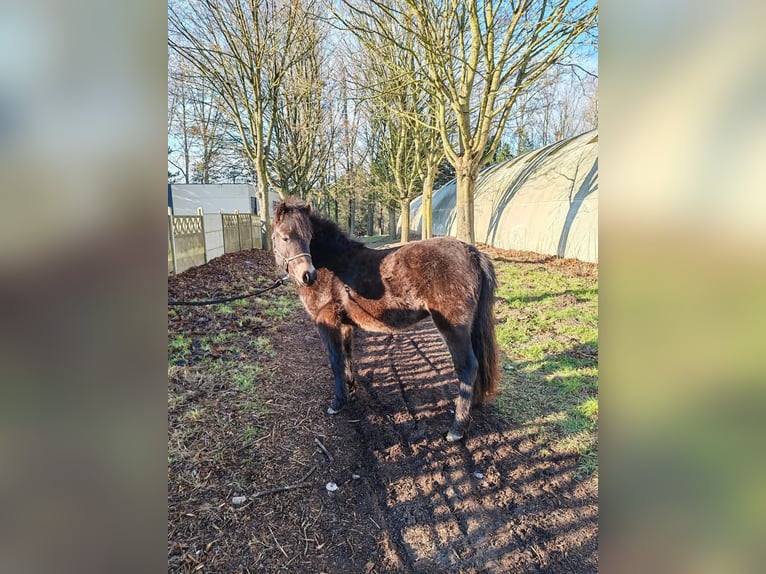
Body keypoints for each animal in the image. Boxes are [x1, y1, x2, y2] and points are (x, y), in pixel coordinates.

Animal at [272, 198, 500, 440]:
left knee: (467, 367)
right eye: (285, 237)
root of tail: (472, 253)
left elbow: (335, 360)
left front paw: (338, 402)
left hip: (453, 328)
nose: (308, 276)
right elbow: (347, 355)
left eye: (309, 237)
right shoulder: (345, 325)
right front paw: (351, 387)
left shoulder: (327, 321)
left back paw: (457, 427)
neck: (333, 267)